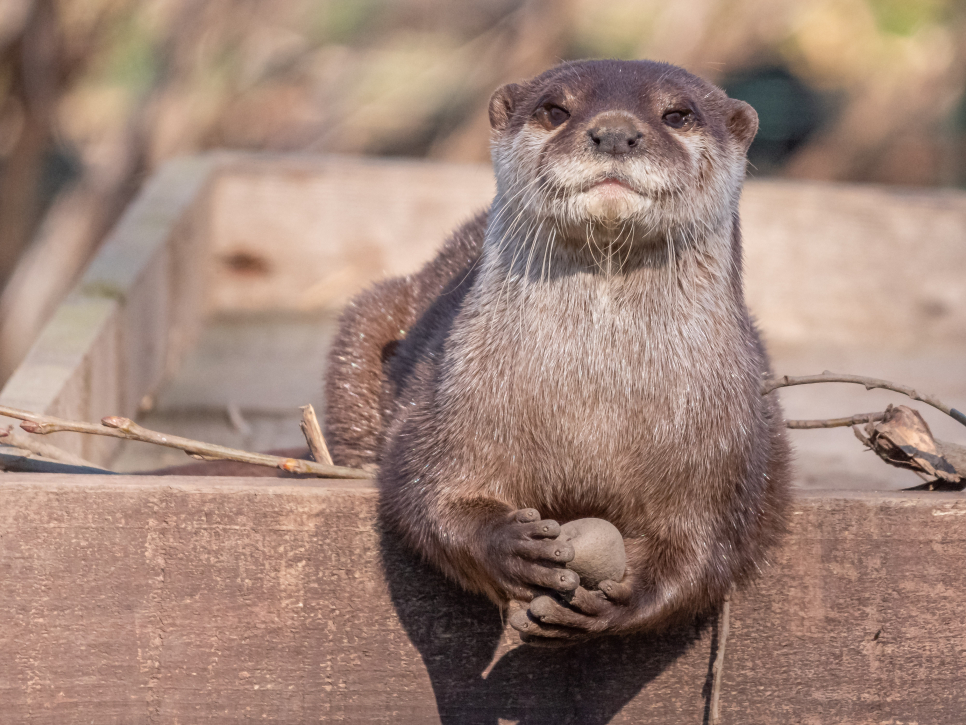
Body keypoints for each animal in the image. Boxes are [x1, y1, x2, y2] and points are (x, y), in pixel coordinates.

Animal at [326, 59, 796, 640]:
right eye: (555, 109)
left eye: (678, 114)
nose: (615, 132)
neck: (592, 404)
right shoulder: (450, 401)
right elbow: (425, 489)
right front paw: (509, 548)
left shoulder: (725, 457)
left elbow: (707, 554)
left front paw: (619, 603)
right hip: (372, 317)